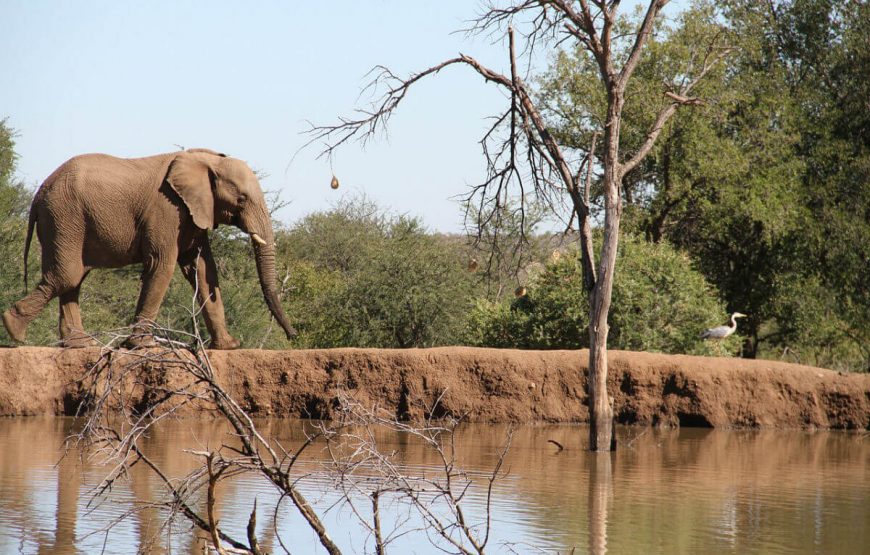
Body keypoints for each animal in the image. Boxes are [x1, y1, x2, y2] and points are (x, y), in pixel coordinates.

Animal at [0, 148, 296, 348]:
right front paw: (141, 345)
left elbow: (202, 269)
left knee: (74, 279)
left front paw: (228, 346)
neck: (206, 160)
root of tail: (38, 193)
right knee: (67, 276)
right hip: (63, 217)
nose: (293, 335)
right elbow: (161, 264)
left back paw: (80, 344)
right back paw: (14, 330)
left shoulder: (192, 212)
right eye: (241, 198)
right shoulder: (166, 209)